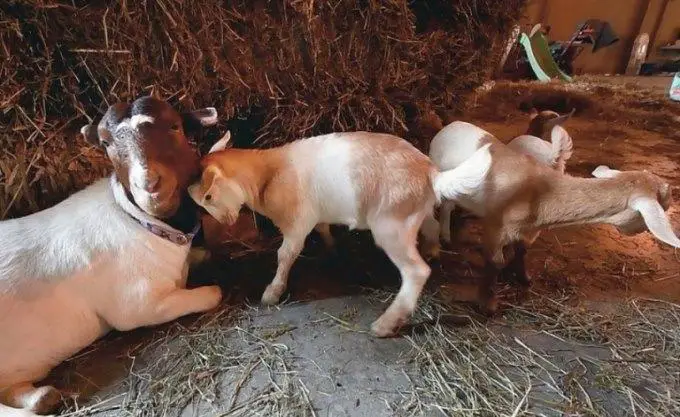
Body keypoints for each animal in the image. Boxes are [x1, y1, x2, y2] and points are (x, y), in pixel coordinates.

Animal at [0, 97, 220, 416]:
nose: (150, 185)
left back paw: (42, 396)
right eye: (105, 143)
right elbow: (194, 298)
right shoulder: (138, 304)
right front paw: (212, 291)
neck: (141, 222)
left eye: (175, 126)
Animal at [190, 131, 489, 338]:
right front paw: (332, 249)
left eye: (209, 196)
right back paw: (434, 250)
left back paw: (386, 324)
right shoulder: (315, 216)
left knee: (416, 271)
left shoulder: (297, 223)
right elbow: (323, 229)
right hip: (416, 213)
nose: (226, 222)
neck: (266, 175)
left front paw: (272, 293)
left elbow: (285, 254)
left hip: (391, 224)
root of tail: (432, 175)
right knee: (432, 227)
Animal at [421, 139, 680, 314]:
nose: (642, 231)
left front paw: (521, 277)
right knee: (444, 207)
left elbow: (521, 250)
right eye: (664, 203)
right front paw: (488, 303)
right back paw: (443, 239)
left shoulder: (528, 230)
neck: (540, 191)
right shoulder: (495, 226)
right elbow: (493, 263)